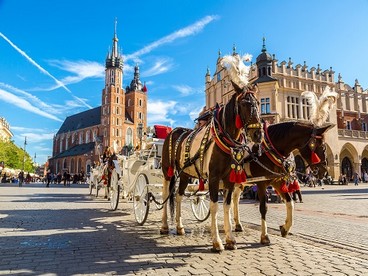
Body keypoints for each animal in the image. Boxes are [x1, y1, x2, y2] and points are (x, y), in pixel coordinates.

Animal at [160, 81, 262, 251]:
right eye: (244, 103)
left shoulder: (229, 179)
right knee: (166, 195)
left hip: (185, 174)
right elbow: (214, 206)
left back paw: (180, 227)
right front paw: (217, 241)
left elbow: (227, 206)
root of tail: (174, 130)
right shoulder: (214, 178)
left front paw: (230, 239)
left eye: (259, 103)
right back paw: (164, 226)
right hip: (168, 171)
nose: (258, 134)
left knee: (179, 196)